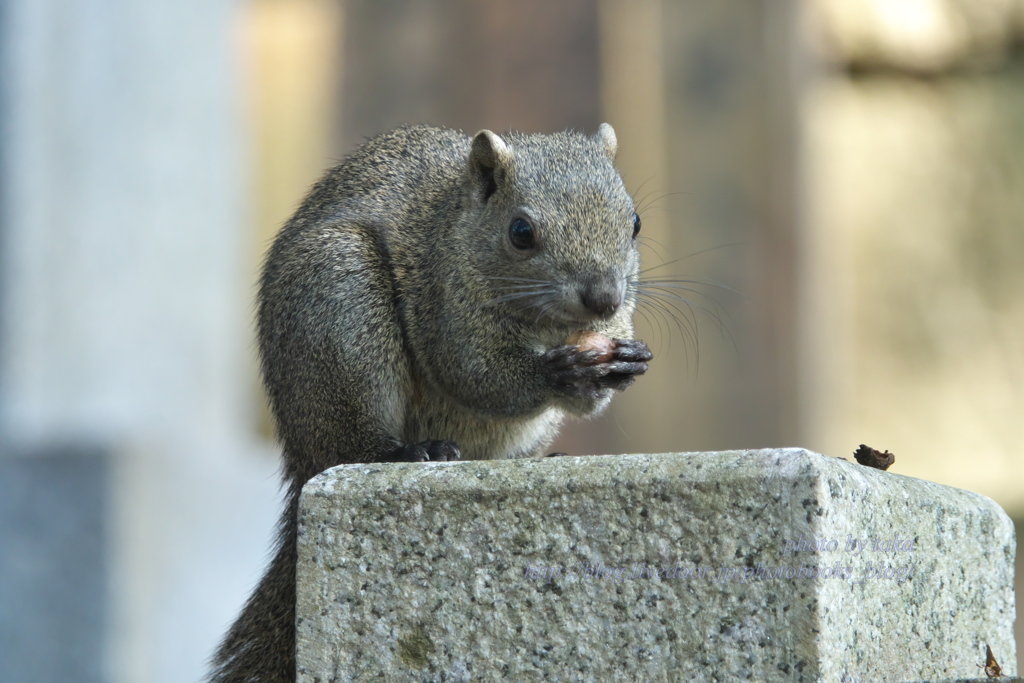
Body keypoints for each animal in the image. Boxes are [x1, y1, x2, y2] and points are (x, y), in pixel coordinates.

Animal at [210, 124, 651, 683]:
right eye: (521, 231)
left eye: (634, 222)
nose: (604, 298)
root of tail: (301, 457)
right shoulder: (447, 306)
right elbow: (479, 375)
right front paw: (559, 373)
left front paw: (625, 362)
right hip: (341, 299)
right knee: (351, 447)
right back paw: (408, 452)